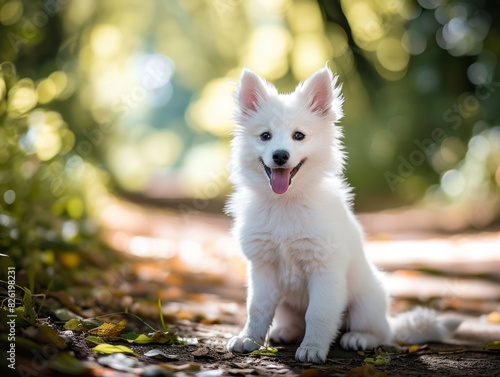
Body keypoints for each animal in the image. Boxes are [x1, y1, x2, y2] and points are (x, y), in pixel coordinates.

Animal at [227, 67, 460, 362]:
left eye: (298, 136)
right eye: (265, 136)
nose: (280, 156)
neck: (286, 203)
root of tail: (389, 323)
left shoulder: (325, 269)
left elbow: (319, 313)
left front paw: (313, 348)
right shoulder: (263, 269)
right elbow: (256, 309)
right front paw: (249, 339)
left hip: (366, 301)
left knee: (378, 334)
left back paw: (359, 338)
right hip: (287, 304)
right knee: (294, 321)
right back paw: (285, 332)